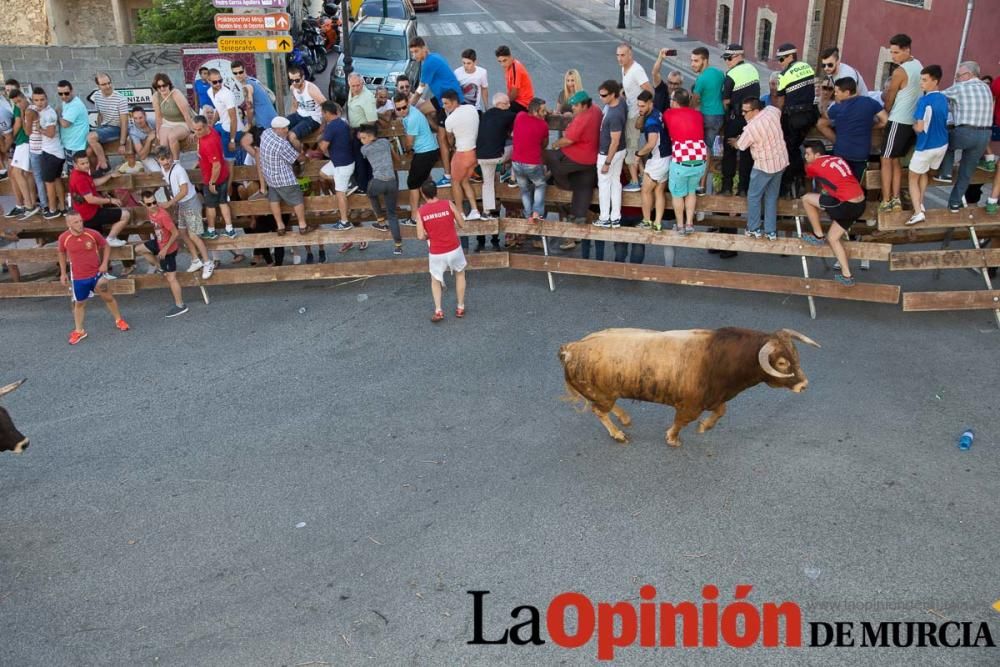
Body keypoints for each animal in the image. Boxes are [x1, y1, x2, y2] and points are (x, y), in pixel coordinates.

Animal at [560, 330, 816, 448]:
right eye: (781, 363)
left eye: (795, 354)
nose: (804, 385)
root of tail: (572, 348)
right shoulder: (690, 406)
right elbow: (681, 421)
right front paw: (672, 439)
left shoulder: (714, 399)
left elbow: (720, 412)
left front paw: (704, 427)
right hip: (602, 394)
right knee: (599, 410)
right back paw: (619, 434)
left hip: (607, 394)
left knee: (605, 408)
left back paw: (625, 419)